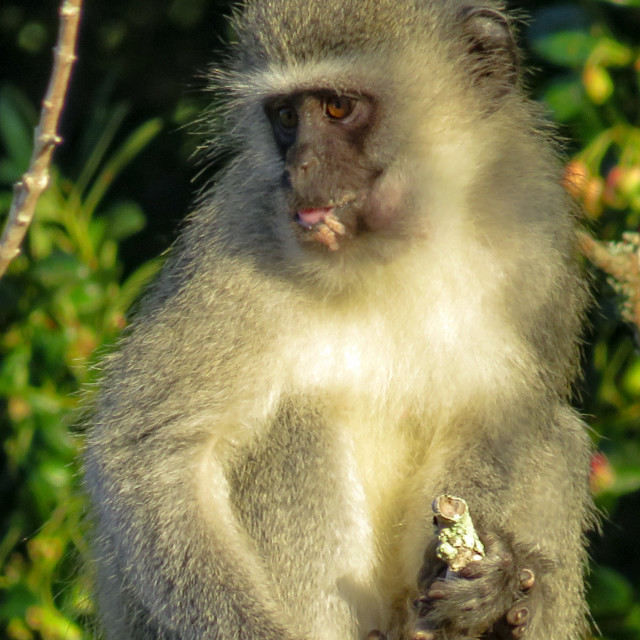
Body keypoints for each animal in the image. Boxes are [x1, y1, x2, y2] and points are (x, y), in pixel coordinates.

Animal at [84, 1, 596, 640]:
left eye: (336, 107)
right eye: (285, 116)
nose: (301, 166)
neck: (395, 250)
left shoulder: (534, 228)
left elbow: (506, 415)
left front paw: (488, 585)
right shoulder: (238, 235)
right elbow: (153, 454)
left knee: (559, 435)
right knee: (293, 421)